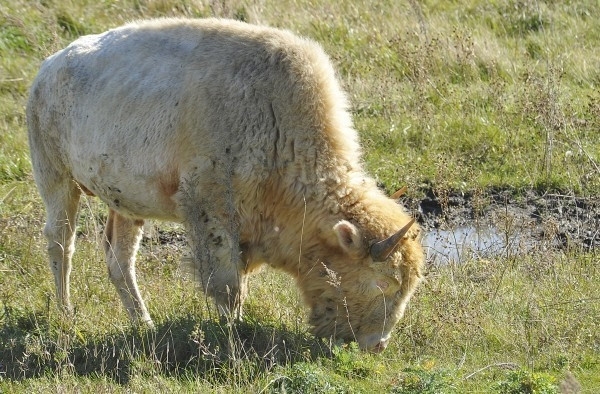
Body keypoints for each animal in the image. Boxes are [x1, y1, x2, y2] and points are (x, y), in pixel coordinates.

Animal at [27, 17, 422, 350]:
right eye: (383, 282)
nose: (378, 343)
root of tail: (47, 70)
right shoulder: (210, 210)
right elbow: (227, 284)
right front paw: (233, 330)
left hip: (124, 204)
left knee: (119, 259)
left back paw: (144, 324)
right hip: (57, 181)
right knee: (60, 243)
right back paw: (66, 314)